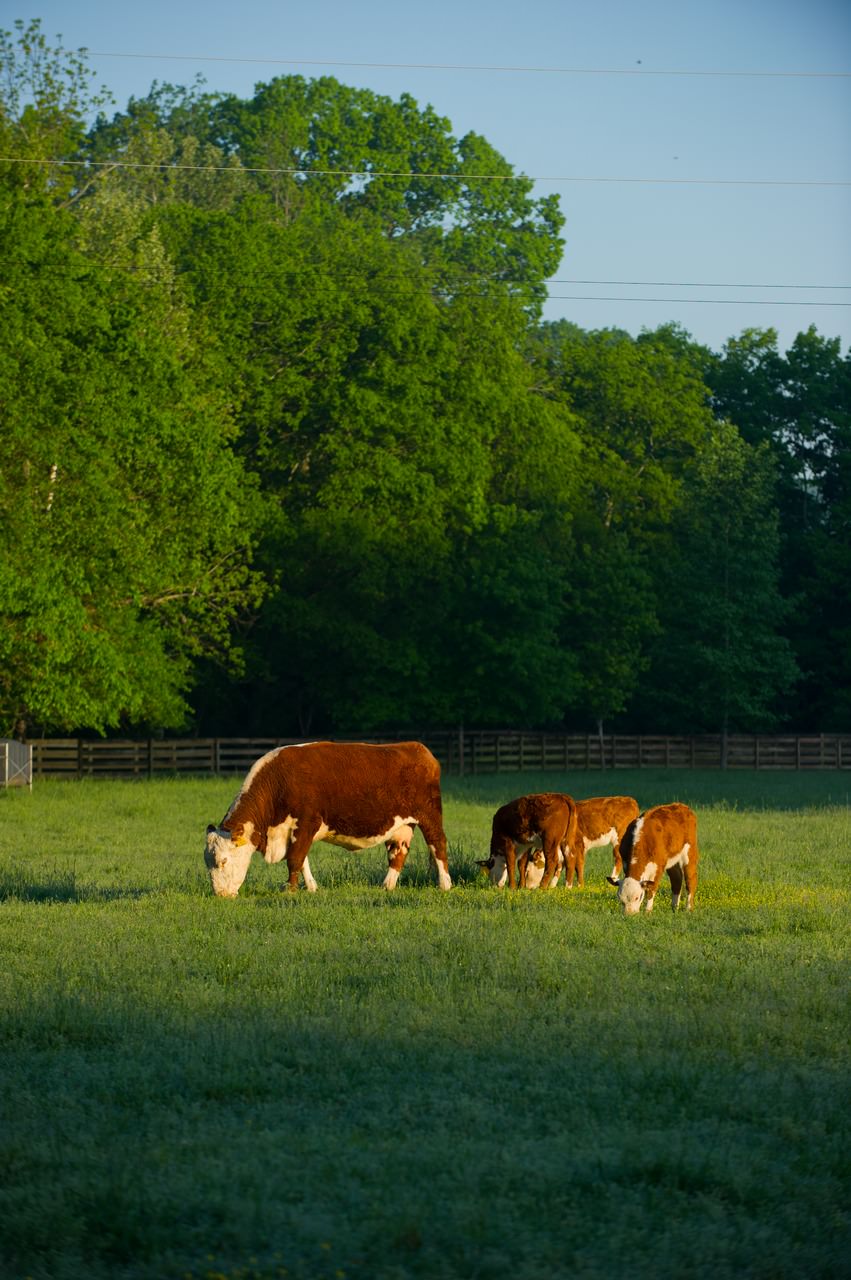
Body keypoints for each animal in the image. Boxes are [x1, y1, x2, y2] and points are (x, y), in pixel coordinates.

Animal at [204, 740, 451, 897]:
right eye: (207, 862)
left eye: (223, 861)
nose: (220, 895)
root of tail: (417, 748)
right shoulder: (293, 831)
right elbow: (301, 859)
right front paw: (311, 888)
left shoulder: (305, 823)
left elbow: (294, 859)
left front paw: (289, 890)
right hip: (401, 825)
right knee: (398, 853)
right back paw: (387, 886)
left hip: (429, 816)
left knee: (438, 845)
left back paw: (445, 884)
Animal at [480, 795, 639, 890]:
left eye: (530, 872)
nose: (495, 886)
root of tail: (630, 800)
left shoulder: (508, 842)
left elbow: (513, 863)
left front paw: (513, 887)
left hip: (617, 840)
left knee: (618, 858)